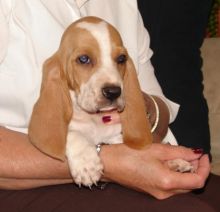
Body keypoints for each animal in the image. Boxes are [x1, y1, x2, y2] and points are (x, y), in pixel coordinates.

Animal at [28, 15, 193, 186]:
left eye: (121, 58)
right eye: (84, 59)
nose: (113, 92)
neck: (95, 119)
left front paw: (177, 160)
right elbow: (72, 133)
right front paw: (86, 164)